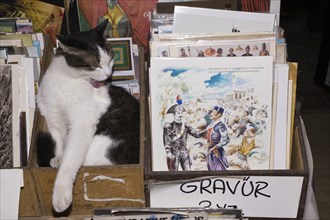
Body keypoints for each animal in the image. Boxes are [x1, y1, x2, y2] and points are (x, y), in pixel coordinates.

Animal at [36, 20, 139, 213]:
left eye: (111, 59)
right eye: (96, 64)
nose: (108, 74)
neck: (67, 80)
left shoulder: (82, 124)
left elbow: (70, 161)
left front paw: (61, 194)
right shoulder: (53, 117)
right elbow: (59, 142)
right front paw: (59, 156)